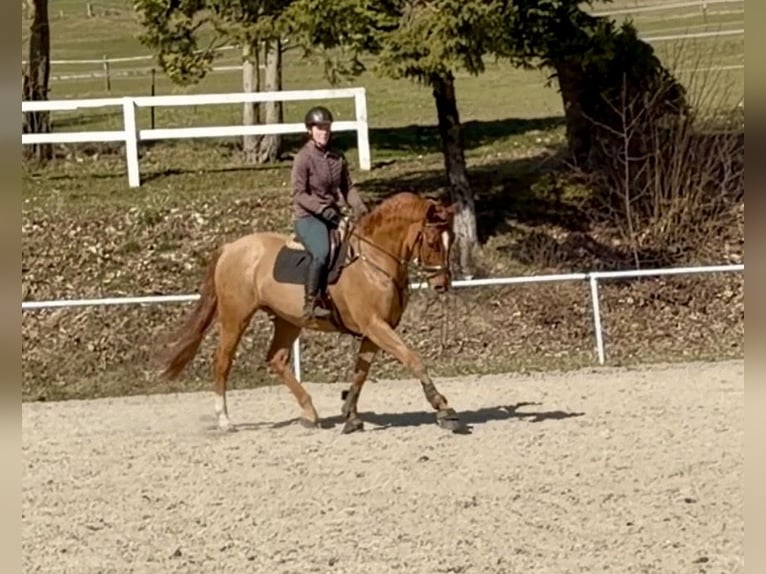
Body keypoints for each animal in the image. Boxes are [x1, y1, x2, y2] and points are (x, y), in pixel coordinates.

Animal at [154, 191, 468, 434]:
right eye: (432, 241)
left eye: (452, 238)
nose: (442, 284)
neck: (374, 259)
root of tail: (232, 247)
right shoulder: (376, 325)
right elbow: (413, 359)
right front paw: (443, 408)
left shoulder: (373, 330)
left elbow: (360, 372)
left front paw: (350, 413)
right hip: (235, 318)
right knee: (222, 362)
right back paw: (224, 420)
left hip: (288, 320)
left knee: (277, 359)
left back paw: (310, 413)